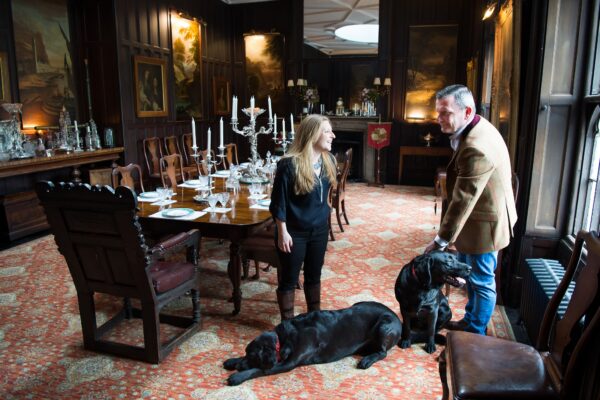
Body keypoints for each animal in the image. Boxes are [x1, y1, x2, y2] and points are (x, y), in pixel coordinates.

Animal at [223, 302, 400, 386]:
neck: (284, 337)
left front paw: (238, 376)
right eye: (247, 353)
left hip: (384, 326)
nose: (239, 366)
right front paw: (233, 361)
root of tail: (398, 318)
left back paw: (367, 360)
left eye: (254, 357)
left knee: (383, 352)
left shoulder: (287, 364)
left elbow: (258, 370)